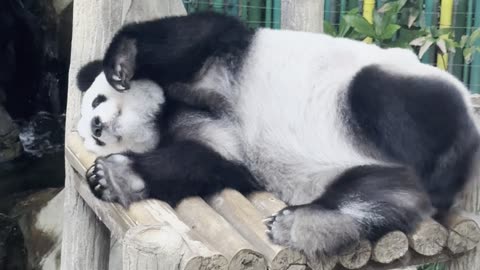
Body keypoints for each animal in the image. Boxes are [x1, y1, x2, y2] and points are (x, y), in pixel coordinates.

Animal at [77, 11, 480, 258]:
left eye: (98, 99)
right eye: (92, 138)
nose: (96, 126)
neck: (164, 112)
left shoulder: (224, 57)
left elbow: (192, 36)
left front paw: (122, 63)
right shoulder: (218, 144)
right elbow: (204, 161)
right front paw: (111, 176)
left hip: (386, 89)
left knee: (382, 95)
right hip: (363, 169)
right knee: (386, 190)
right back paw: (307, 223)